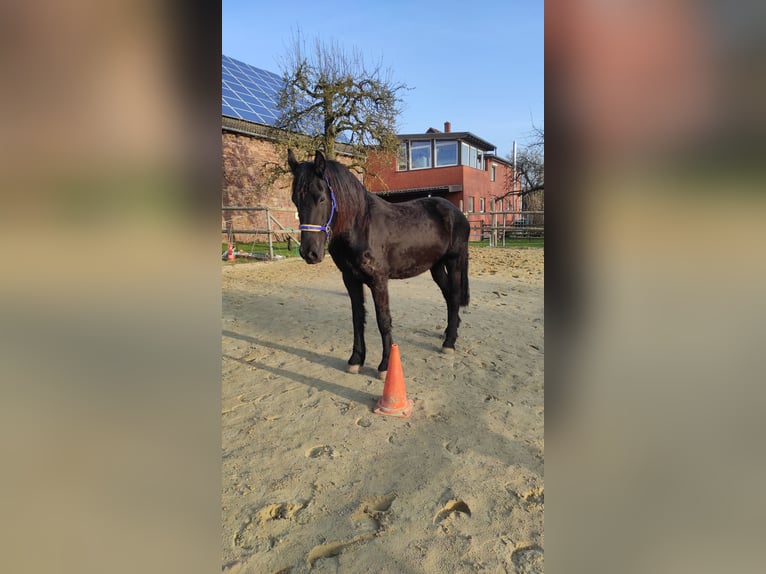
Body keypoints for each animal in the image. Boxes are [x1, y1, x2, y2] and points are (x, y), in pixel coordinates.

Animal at [288, 149, 470, 377]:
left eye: (321, 198)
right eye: (295, 200)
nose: (309, 253)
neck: (360, 225)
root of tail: (457, 212)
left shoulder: (379, 280)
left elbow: (383, 320)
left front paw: (384, 366)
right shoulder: (350, 280)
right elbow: (358, 318)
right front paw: (356, 360)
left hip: (454, 261)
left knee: (453, 297)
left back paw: (449, 343)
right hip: (435, 266)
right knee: (448, 296)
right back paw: (448, 333)